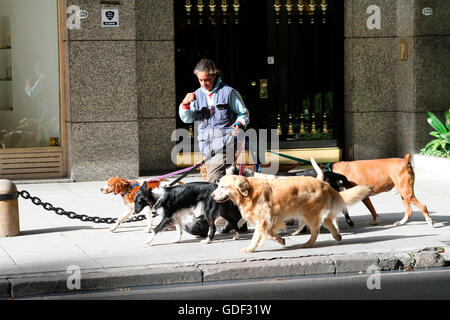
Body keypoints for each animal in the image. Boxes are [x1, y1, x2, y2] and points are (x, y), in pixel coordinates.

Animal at [213, 175, 370, 252]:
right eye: (218, 185)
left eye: (223, 187)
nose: (212, 195)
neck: (249, 192)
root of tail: (325, 184)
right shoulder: (270, 220)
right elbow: (269, 234)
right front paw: (280, 240)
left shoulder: (263, 220)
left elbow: (257, 236)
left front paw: (250, 248)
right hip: (313, 213)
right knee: (329, 223)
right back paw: (337, 236)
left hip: (309, 214)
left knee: (316, 231)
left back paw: (308, 243)